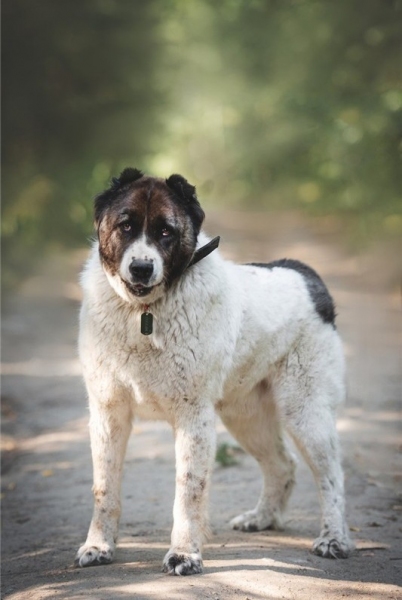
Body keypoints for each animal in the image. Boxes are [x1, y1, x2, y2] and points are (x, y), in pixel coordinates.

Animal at [75, 168, 353, 575]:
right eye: (125, 226)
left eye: (165, 231)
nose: (141, 268)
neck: (145, 314)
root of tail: (306, 273)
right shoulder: (108, 414)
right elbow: (103, 488)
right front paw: (98, 546)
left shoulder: (194, 418)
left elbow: (189, 491)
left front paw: (184, 553)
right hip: (245, 416)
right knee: (282, 465)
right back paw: (262, 518)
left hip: (306, 411)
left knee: (331, 476)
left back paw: (334, 539)